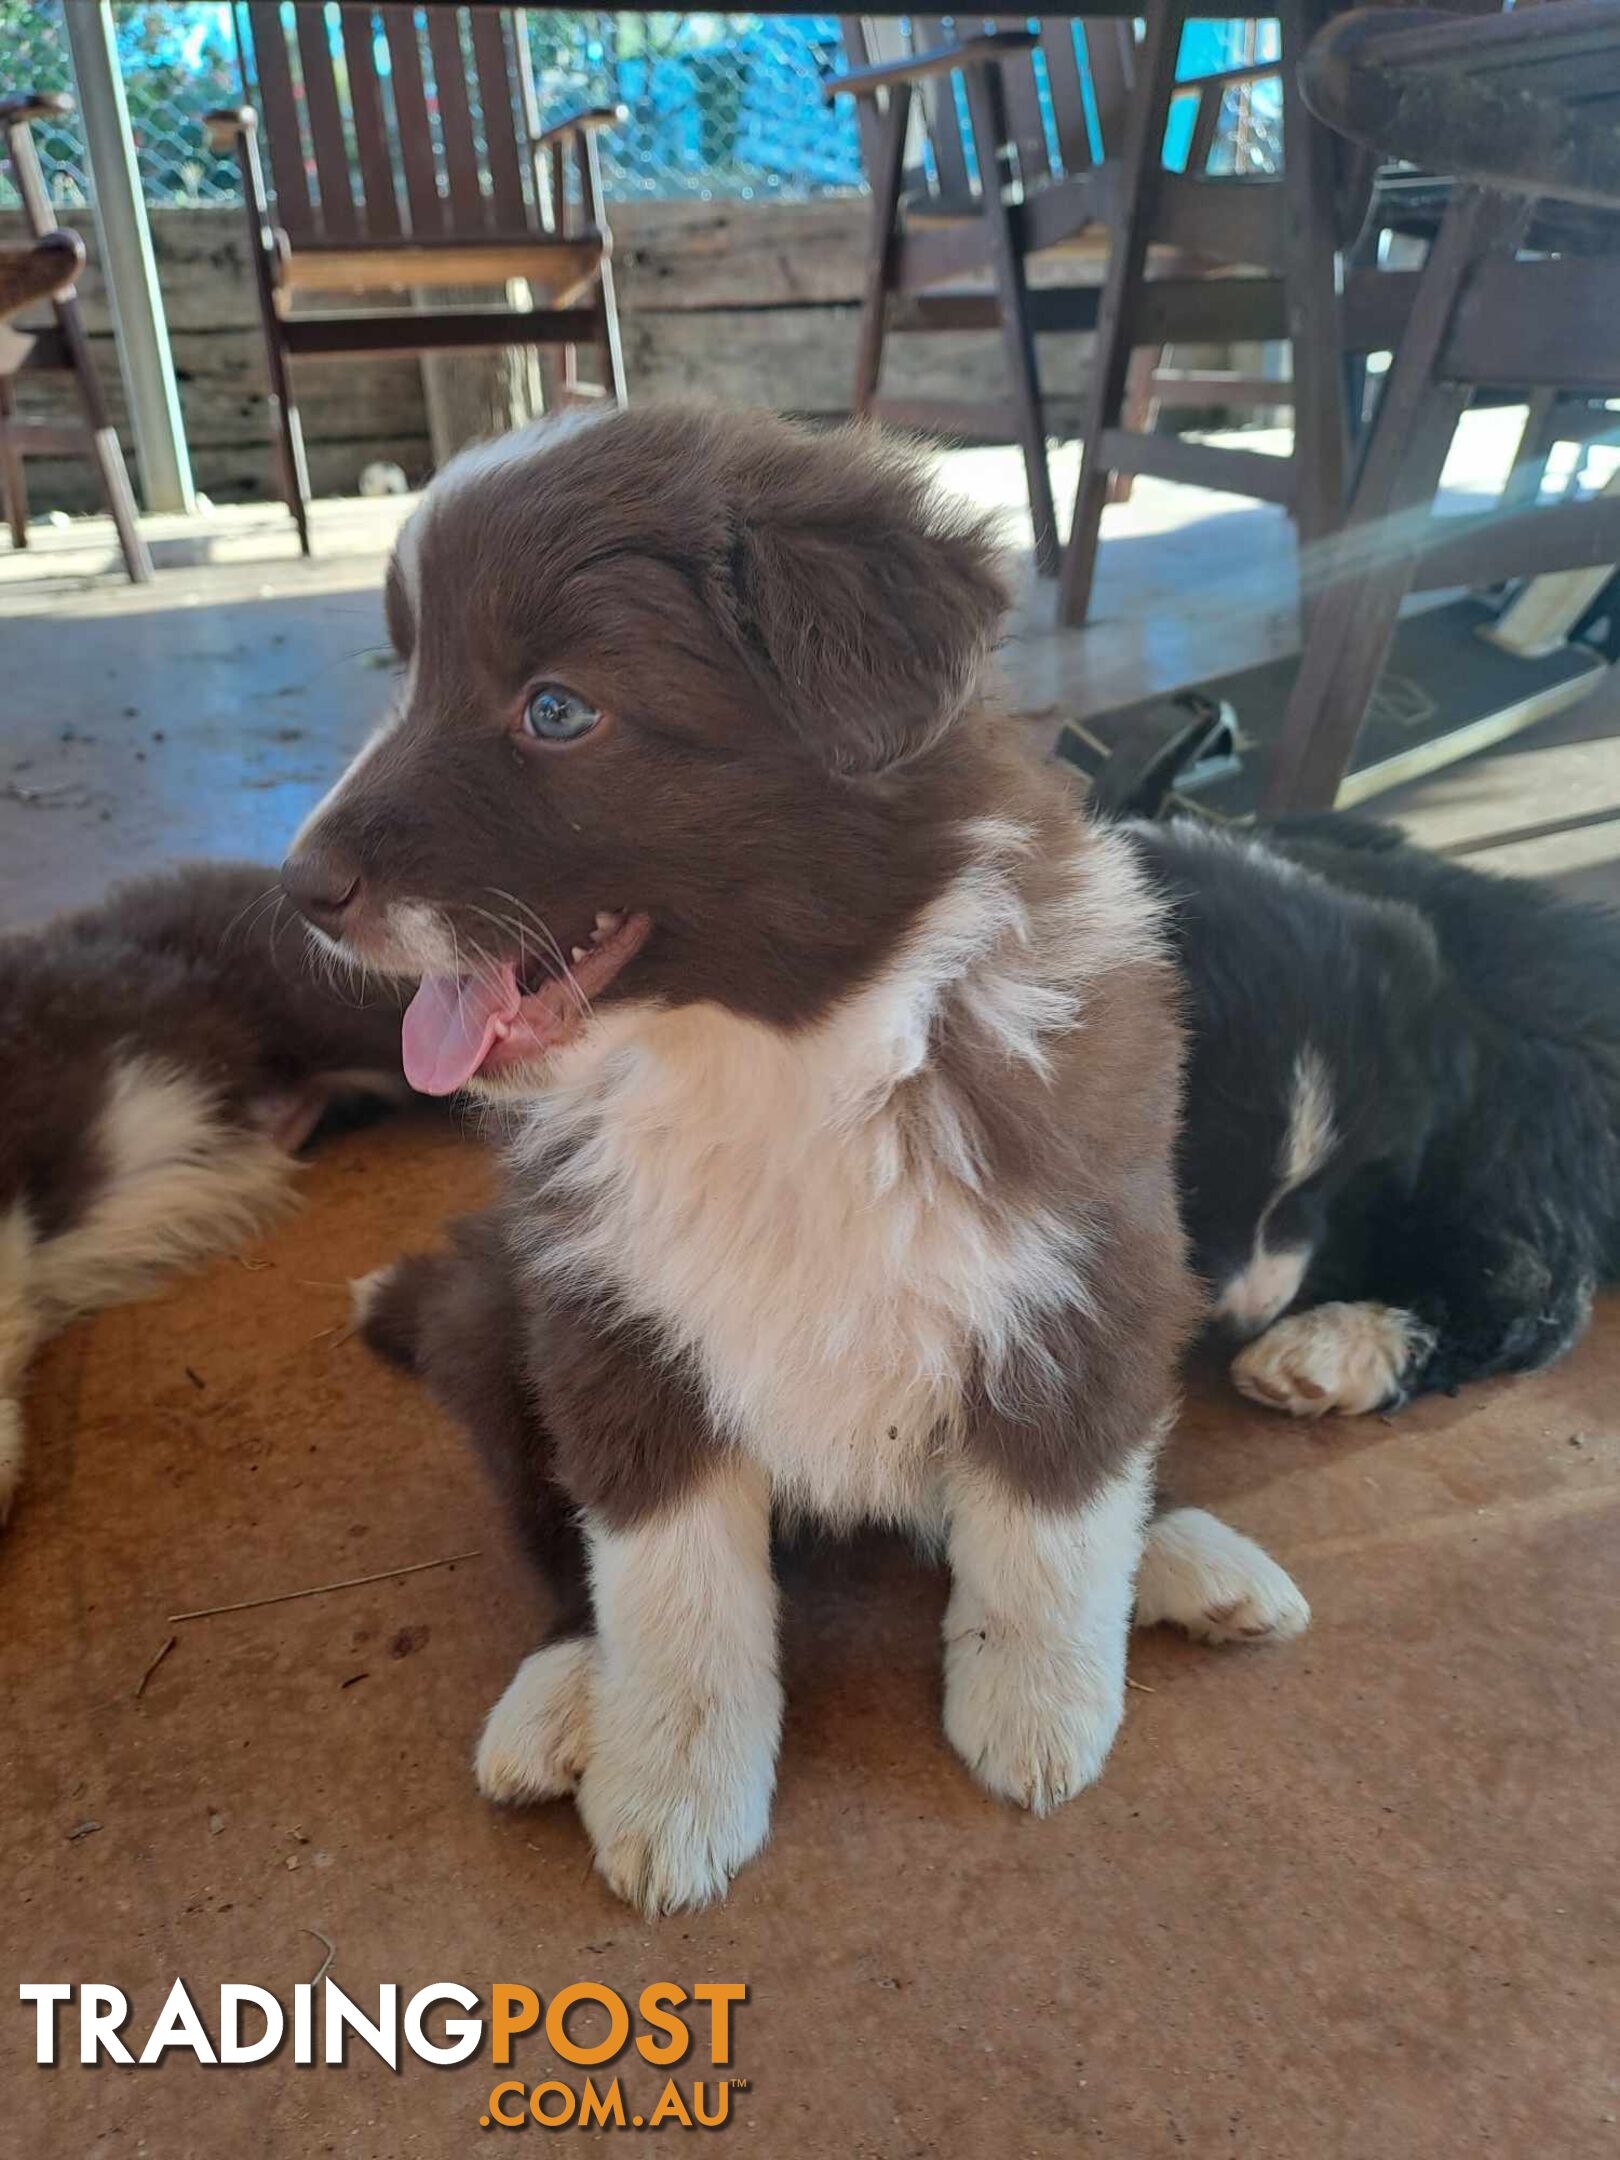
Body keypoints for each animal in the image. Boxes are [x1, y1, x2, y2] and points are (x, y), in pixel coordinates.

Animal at [282, 408, 1321, 1926]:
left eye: (556, 710)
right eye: (406, 674)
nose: (298, 889)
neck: (780, 1053)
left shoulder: (1078, 1263)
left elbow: (1051, 1516)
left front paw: (1037, 1713)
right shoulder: (615, 1330)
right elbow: (670, 1591)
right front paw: (669, 1794)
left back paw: (1188, 1553)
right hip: (497, 1326)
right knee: (558, 1547)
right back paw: (560, 1695)